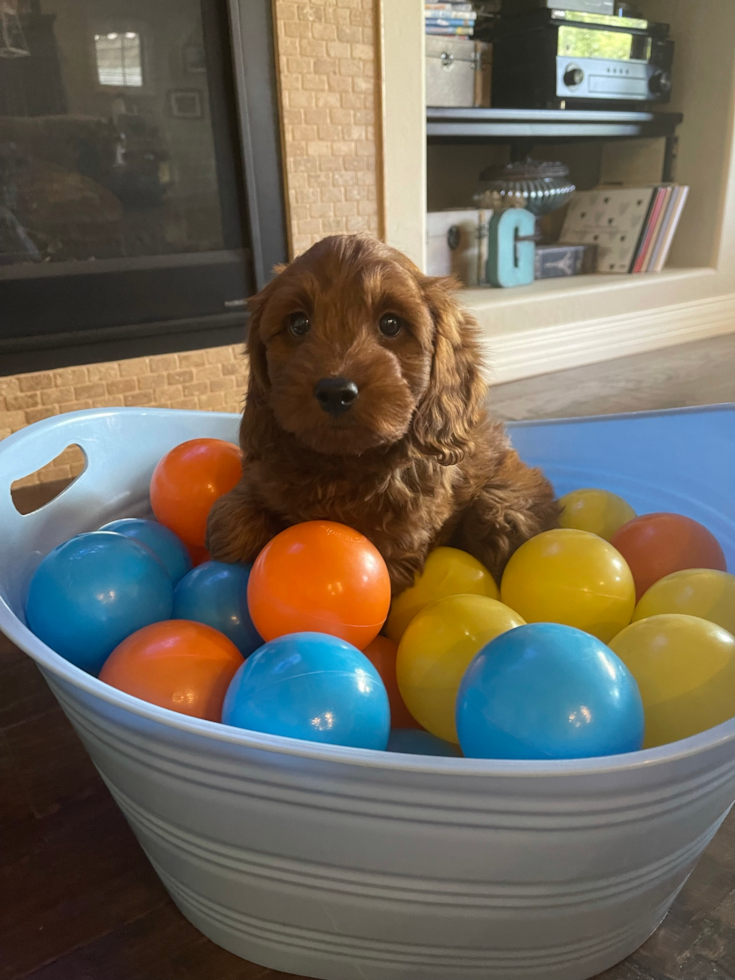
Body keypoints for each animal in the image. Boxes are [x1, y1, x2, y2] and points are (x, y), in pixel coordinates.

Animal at [207, 234, 556, 592]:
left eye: (391, 324)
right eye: (298, 323)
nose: (336, 391)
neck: (341, 463)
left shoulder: (399, 542)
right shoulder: (259, 476)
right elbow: (230, 523)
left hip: (503, 507)